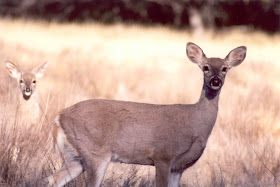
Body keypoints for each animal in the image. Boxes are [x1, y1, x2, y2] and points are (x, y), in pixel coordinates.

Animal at [47, 42, 246, 187]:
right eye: (205, 67)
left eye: (225, 68)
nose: (215, 81)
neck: (195, 124)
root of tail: (60, 116)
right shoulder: (163, 155)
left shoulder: (178, 167)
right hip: (95, 152)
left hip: (76, 156)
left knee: (53, 179)